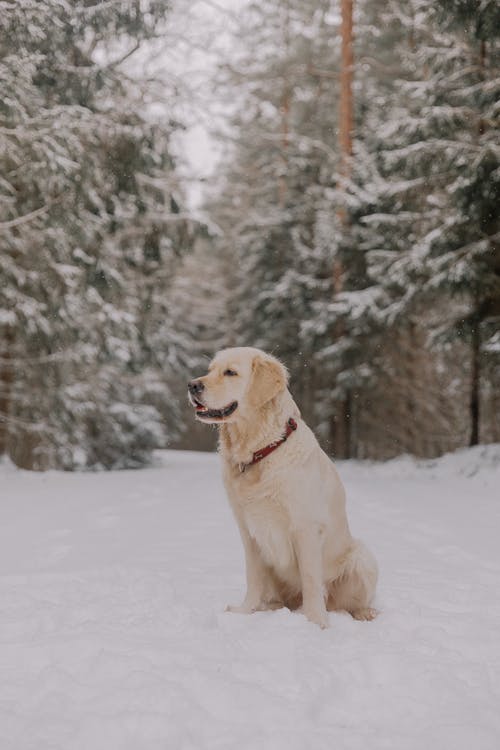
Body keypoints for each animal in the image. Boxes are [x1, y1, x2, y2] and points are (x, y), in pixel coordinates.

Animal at [189, 346, 376, 628]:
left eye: (230, 372)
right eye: (210, 370)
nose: (192, 385)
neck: (261, 451)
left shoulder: (305, 527)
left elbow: (310, 580)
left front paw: (316, 622)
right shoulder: (248, 531)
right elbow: (253, 576)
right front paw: (244, 612)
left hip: (362, 556)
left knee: (348, 601)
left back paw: (363, 613)